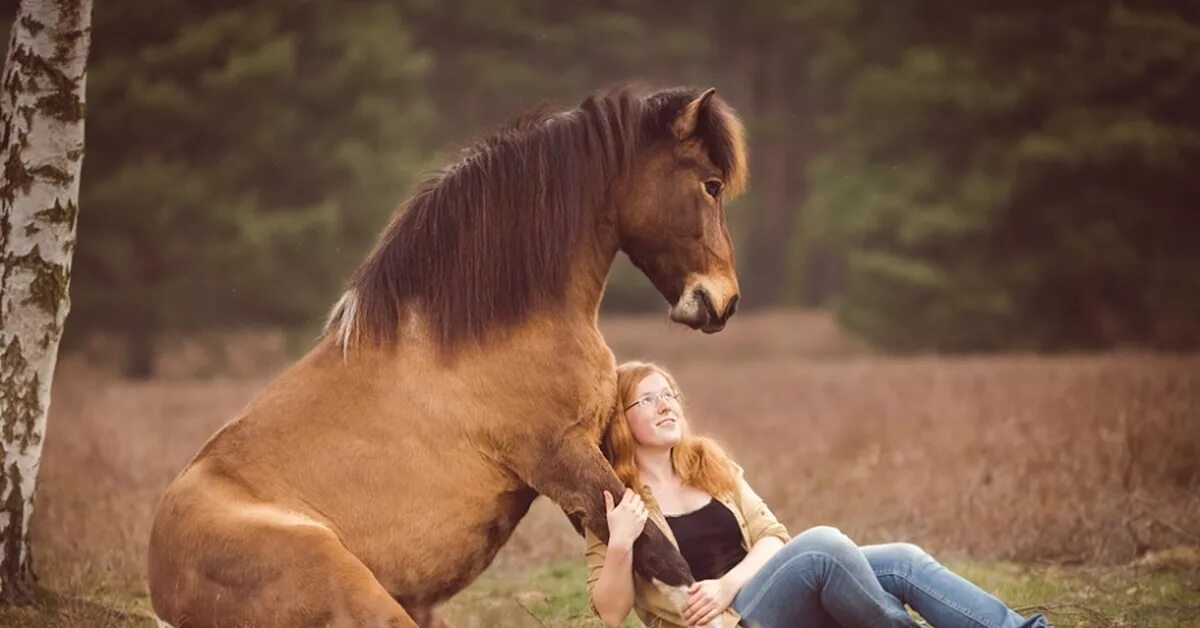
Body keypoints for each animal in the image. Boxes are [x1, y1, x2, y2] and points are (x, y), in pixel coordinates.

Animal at [147, 84, 748, 628]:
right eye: (711, 184)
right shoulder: (562, 460)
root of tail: (163, 593)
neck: (483, 330)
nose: (723, 301)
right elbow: (668, 559)